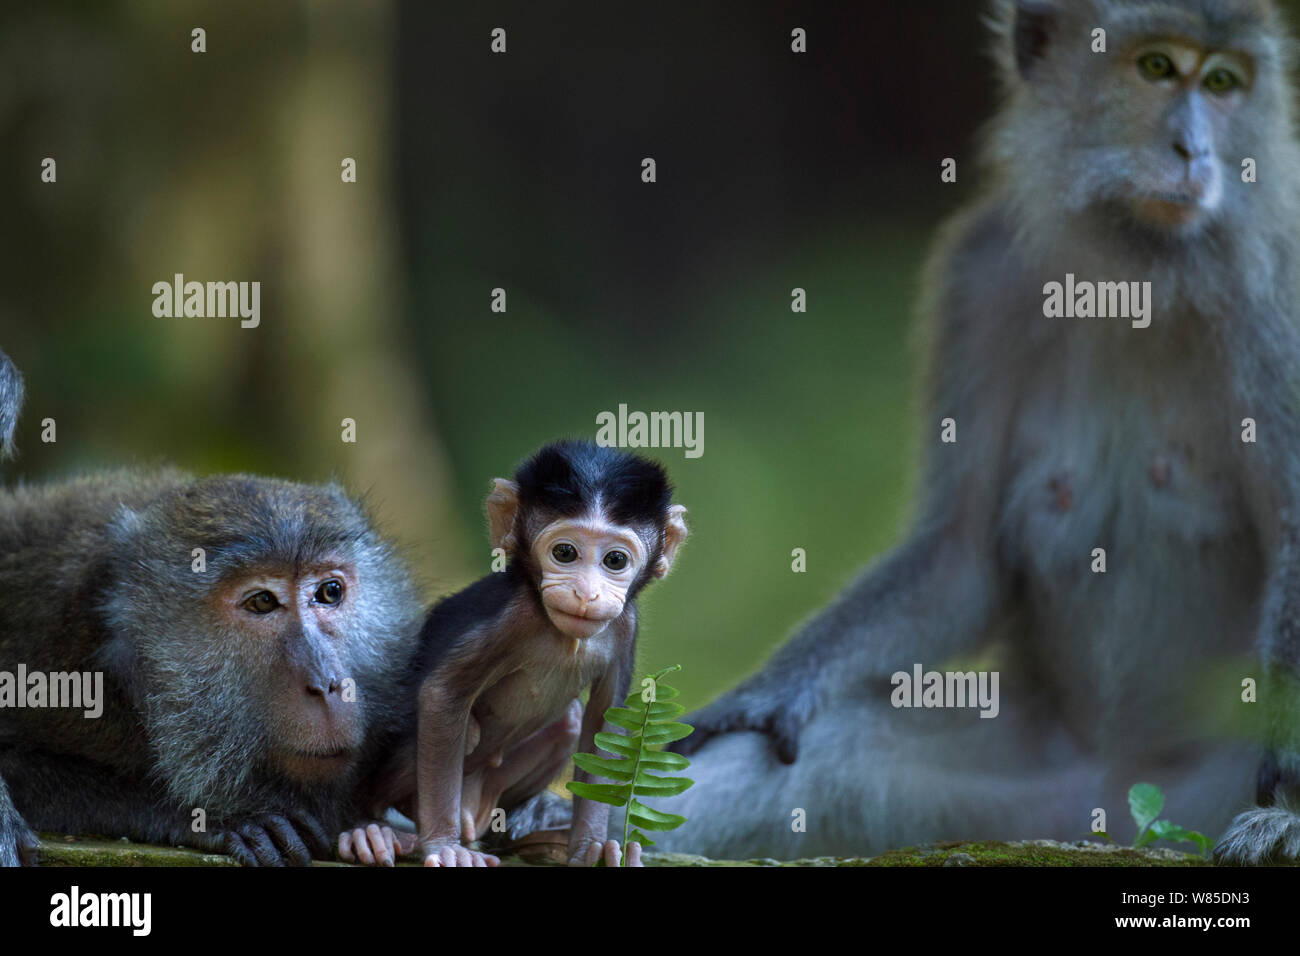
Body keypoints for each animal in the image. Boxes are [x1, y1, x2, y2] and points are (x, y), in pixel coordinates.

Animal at [338, 440, 687, 867]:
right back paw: (377, 831)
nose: (585, 594)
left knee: (570, 720)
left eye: (615, 560)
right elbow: (441, 695)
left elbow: (605, 720)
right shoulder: (511, 619)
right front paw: (443, 846)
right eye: (565, 553)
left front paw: (593, 847)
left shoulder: (625, 625)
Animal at [584, 0, 1300, 864]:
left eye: (1224, 84)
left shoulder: (1278, 298)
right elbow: (962, 555)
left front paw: (1285, 807)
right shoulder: (983, 277)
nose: (1194, 152)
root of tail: (1109, 812)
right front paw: (768, 693)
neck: (1135, 274)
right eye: (1158, 68)